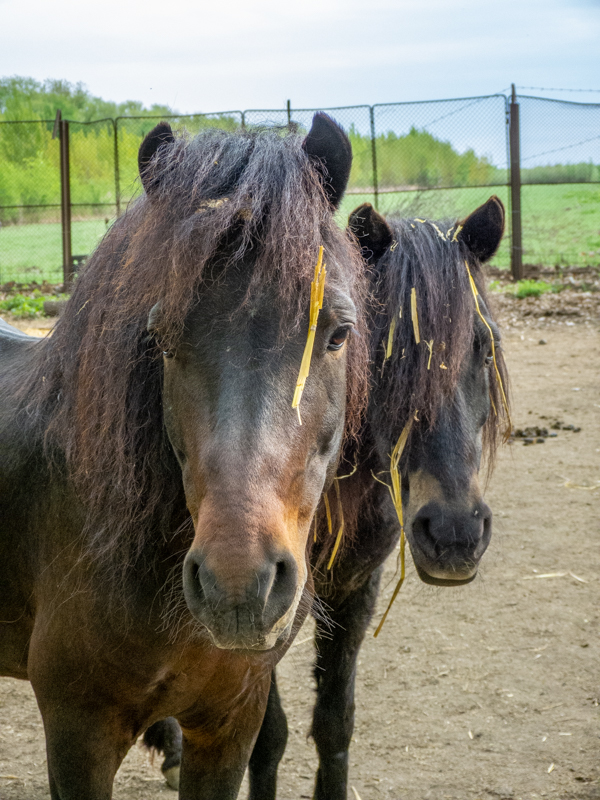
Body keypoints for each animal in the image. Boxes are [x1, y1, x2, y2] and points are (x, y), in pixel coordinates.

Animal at [143, 196, 510, 799]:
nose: (455, 535)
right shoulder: (264, 613)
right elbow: (269, 737)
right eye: (386, 355)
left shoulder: (357, 592)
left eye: (484, 349)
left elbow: (335, 723)